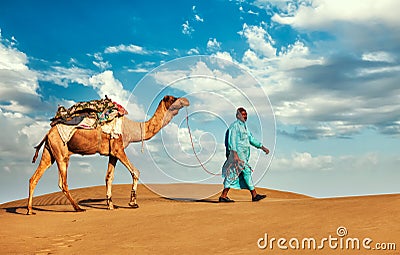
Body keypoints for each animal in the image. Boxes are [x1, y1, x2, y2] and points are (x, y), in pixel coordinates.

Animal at [27, 94, 190, 214]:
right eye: (173, 98)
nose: (186, 100)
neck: (131, 129)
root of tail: (48, 133)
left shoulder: (112, 153)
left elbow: (109, 177)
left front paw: (111, 204)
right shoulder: (119, 148)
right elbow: (135, 171)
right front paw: (133, 203)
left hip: (49, 153)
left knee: (34, 178)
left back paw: (30, 210)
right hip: (61, 153)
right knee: (63, 183)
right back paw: (78, 208)